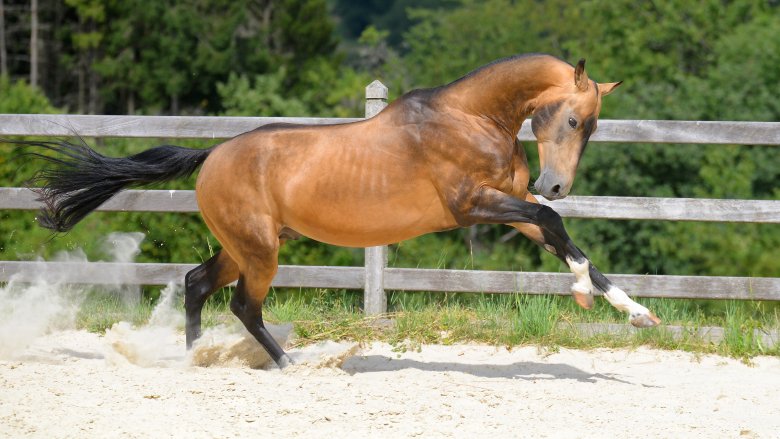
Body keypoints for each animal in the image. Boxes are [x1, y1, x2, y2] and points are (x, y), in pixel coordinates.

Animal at [15, 53, 660, 370]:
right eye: (572, 118)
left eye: (593, 127)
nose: (556, 184)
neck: (471, 119)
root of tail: (213, 154)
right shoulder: (472, 206)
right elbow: (557, 227)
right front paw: (584, 294)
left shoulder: (512, 209)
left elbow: (569, 241)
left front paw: (636, 313)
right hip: (261, 252)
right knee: (242, 305)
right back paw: (290, 364)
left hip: (245, 246)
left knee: (196, 283)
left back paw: (197, 358)